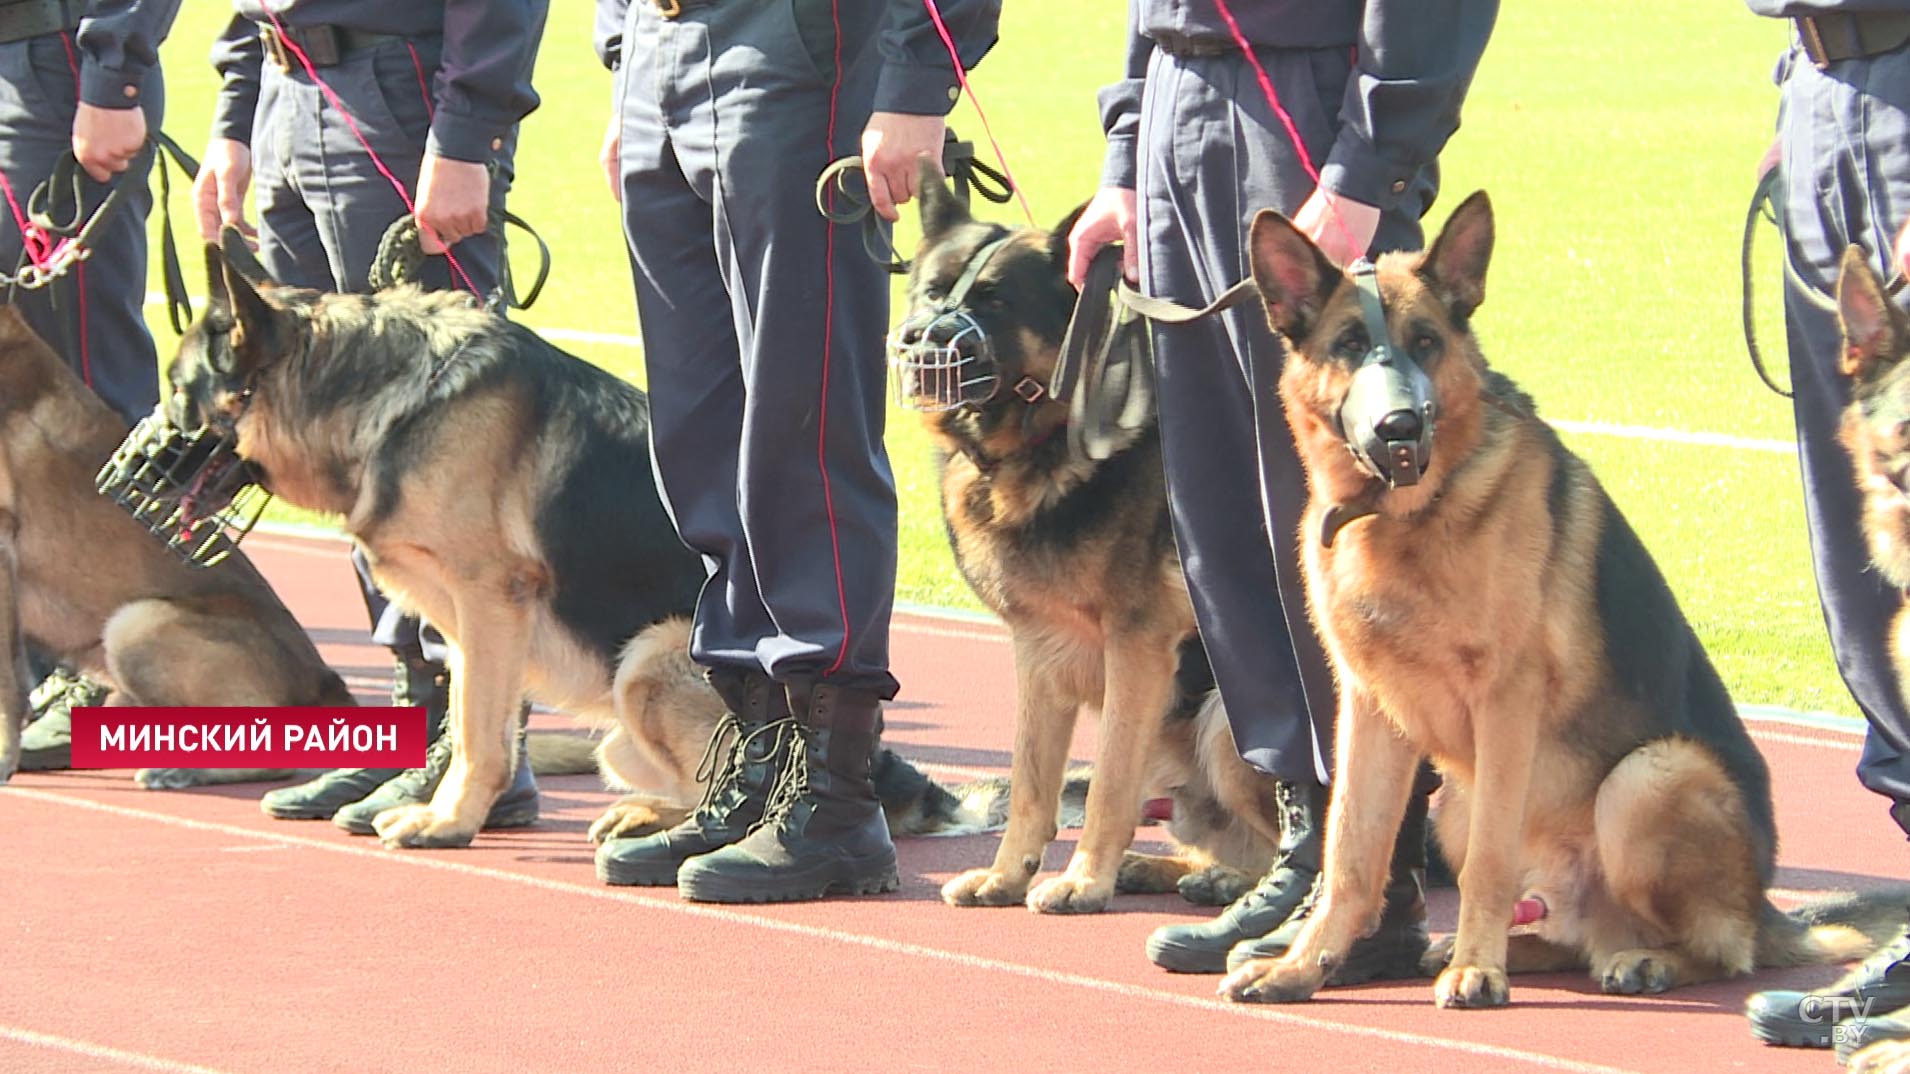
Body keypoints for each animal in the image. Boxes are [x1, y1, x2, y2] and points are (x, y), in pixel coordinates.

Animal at [164, 232, 985, 844]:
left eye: (178, 390)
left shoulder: (490, 601)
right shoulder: (476, 630)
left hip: (647, 664)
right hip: (621, 727)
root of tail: (885, 765)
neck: (370, 390)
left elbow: (478, 731)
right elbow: (481, 722)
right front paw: (461, 808)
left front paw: (447, 823)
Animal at [905, 171, 1291, 905]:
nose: (916, 340)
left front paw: (1083, 880)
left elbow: (1110, 781)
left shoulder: (1135, 652)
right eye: (934, 290)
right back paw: (1169, 870)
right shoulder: (1037, 652)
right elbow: (1031, 783)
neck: (1048, 441)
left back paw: (1234, 884)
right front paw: (1008, 874)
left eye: (995, 300)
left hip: (1221, 721)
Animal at [1214, 196, 1902, 1009]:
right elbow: (1351, 851)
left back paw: (1638, 960)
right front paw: (1303, 966)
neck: (1405, 515)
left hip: (1646, 778)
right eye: (1350, 345)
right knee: (1570, 936)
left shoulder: (1505, 703)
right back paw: (1493, 948)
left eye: (1425, 343)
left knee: (1724, 952)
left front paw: (1477, 971)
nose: (1399, 428)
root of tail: (1767, 911)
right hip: (1457, 804)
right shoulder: (1369, 708)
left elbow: (1487, 863)